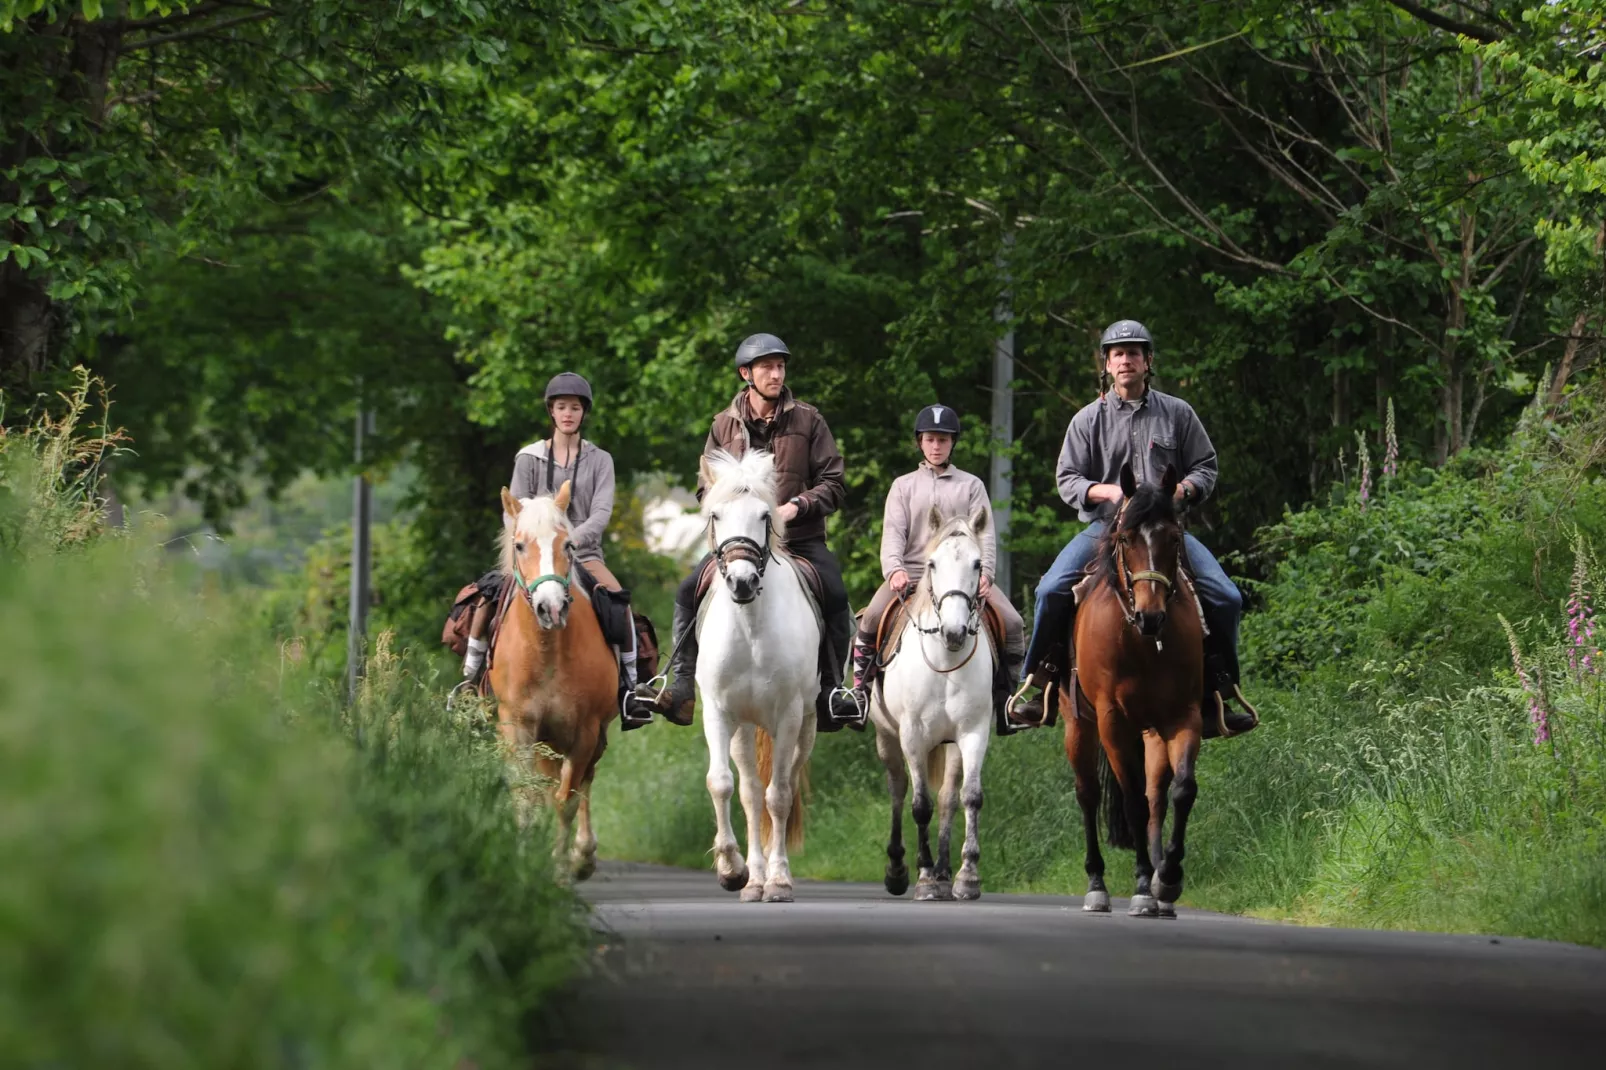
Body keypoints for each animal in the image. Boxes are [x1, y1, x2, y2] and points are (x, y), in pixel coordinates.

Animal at [485, 478, 616, 880]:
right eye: (519, 545)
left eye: (568, 544)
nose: (551, 608)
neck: (547, 653)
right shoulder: (518, 726)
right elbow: (527, 796)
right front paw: (526, 861)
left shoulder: (585, 730)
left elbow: (567, 799)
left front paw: (560, 866)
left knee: (583, 781)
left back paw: (583, 854)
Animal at [693, 446, 815, 899]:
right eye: (715, 515)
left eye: (765, 515)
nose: (742, 582)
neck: (750, 625)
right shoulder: (719, 713)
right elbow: (723, 783)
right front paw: (733, 869)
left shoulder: (789, 715)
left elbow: (779, 796)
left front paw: (779, 881)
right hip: (745, 727)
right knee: (748, 793)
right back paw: (754, 880)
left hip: (805, 726)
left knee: (782, 787)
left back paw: (770, 878)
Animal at [873, 507, 982, 899]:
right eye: (932, 563)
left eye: (978, 564)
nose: (954, 632)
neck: (945, 660)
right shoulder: (912, 735)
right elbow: (920, 805)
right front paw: (924, 876)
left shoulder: (973, 733)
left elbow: (969, 797)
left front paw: (967, 875)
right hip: (887, 738)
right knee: (897, 789)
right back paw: (897, 870)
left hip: (950, 744)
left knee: (949, 796)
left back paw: (945, 870)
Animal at [1066, 459, 1207, 918]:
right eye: (1126, 538)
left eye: (1174, 537)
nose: (1151, 616)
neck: (1143, 644)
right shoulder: (1112, 722)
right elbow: (1130, 802)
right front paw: (1145, 885)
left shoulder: (1184, 715)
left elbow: (1182, 791)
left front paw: (1169, 878)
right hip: (1079, 725)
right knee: (1089, 794)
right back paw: (1097, 884)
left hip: (1151, 734)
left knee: (1156, 795)